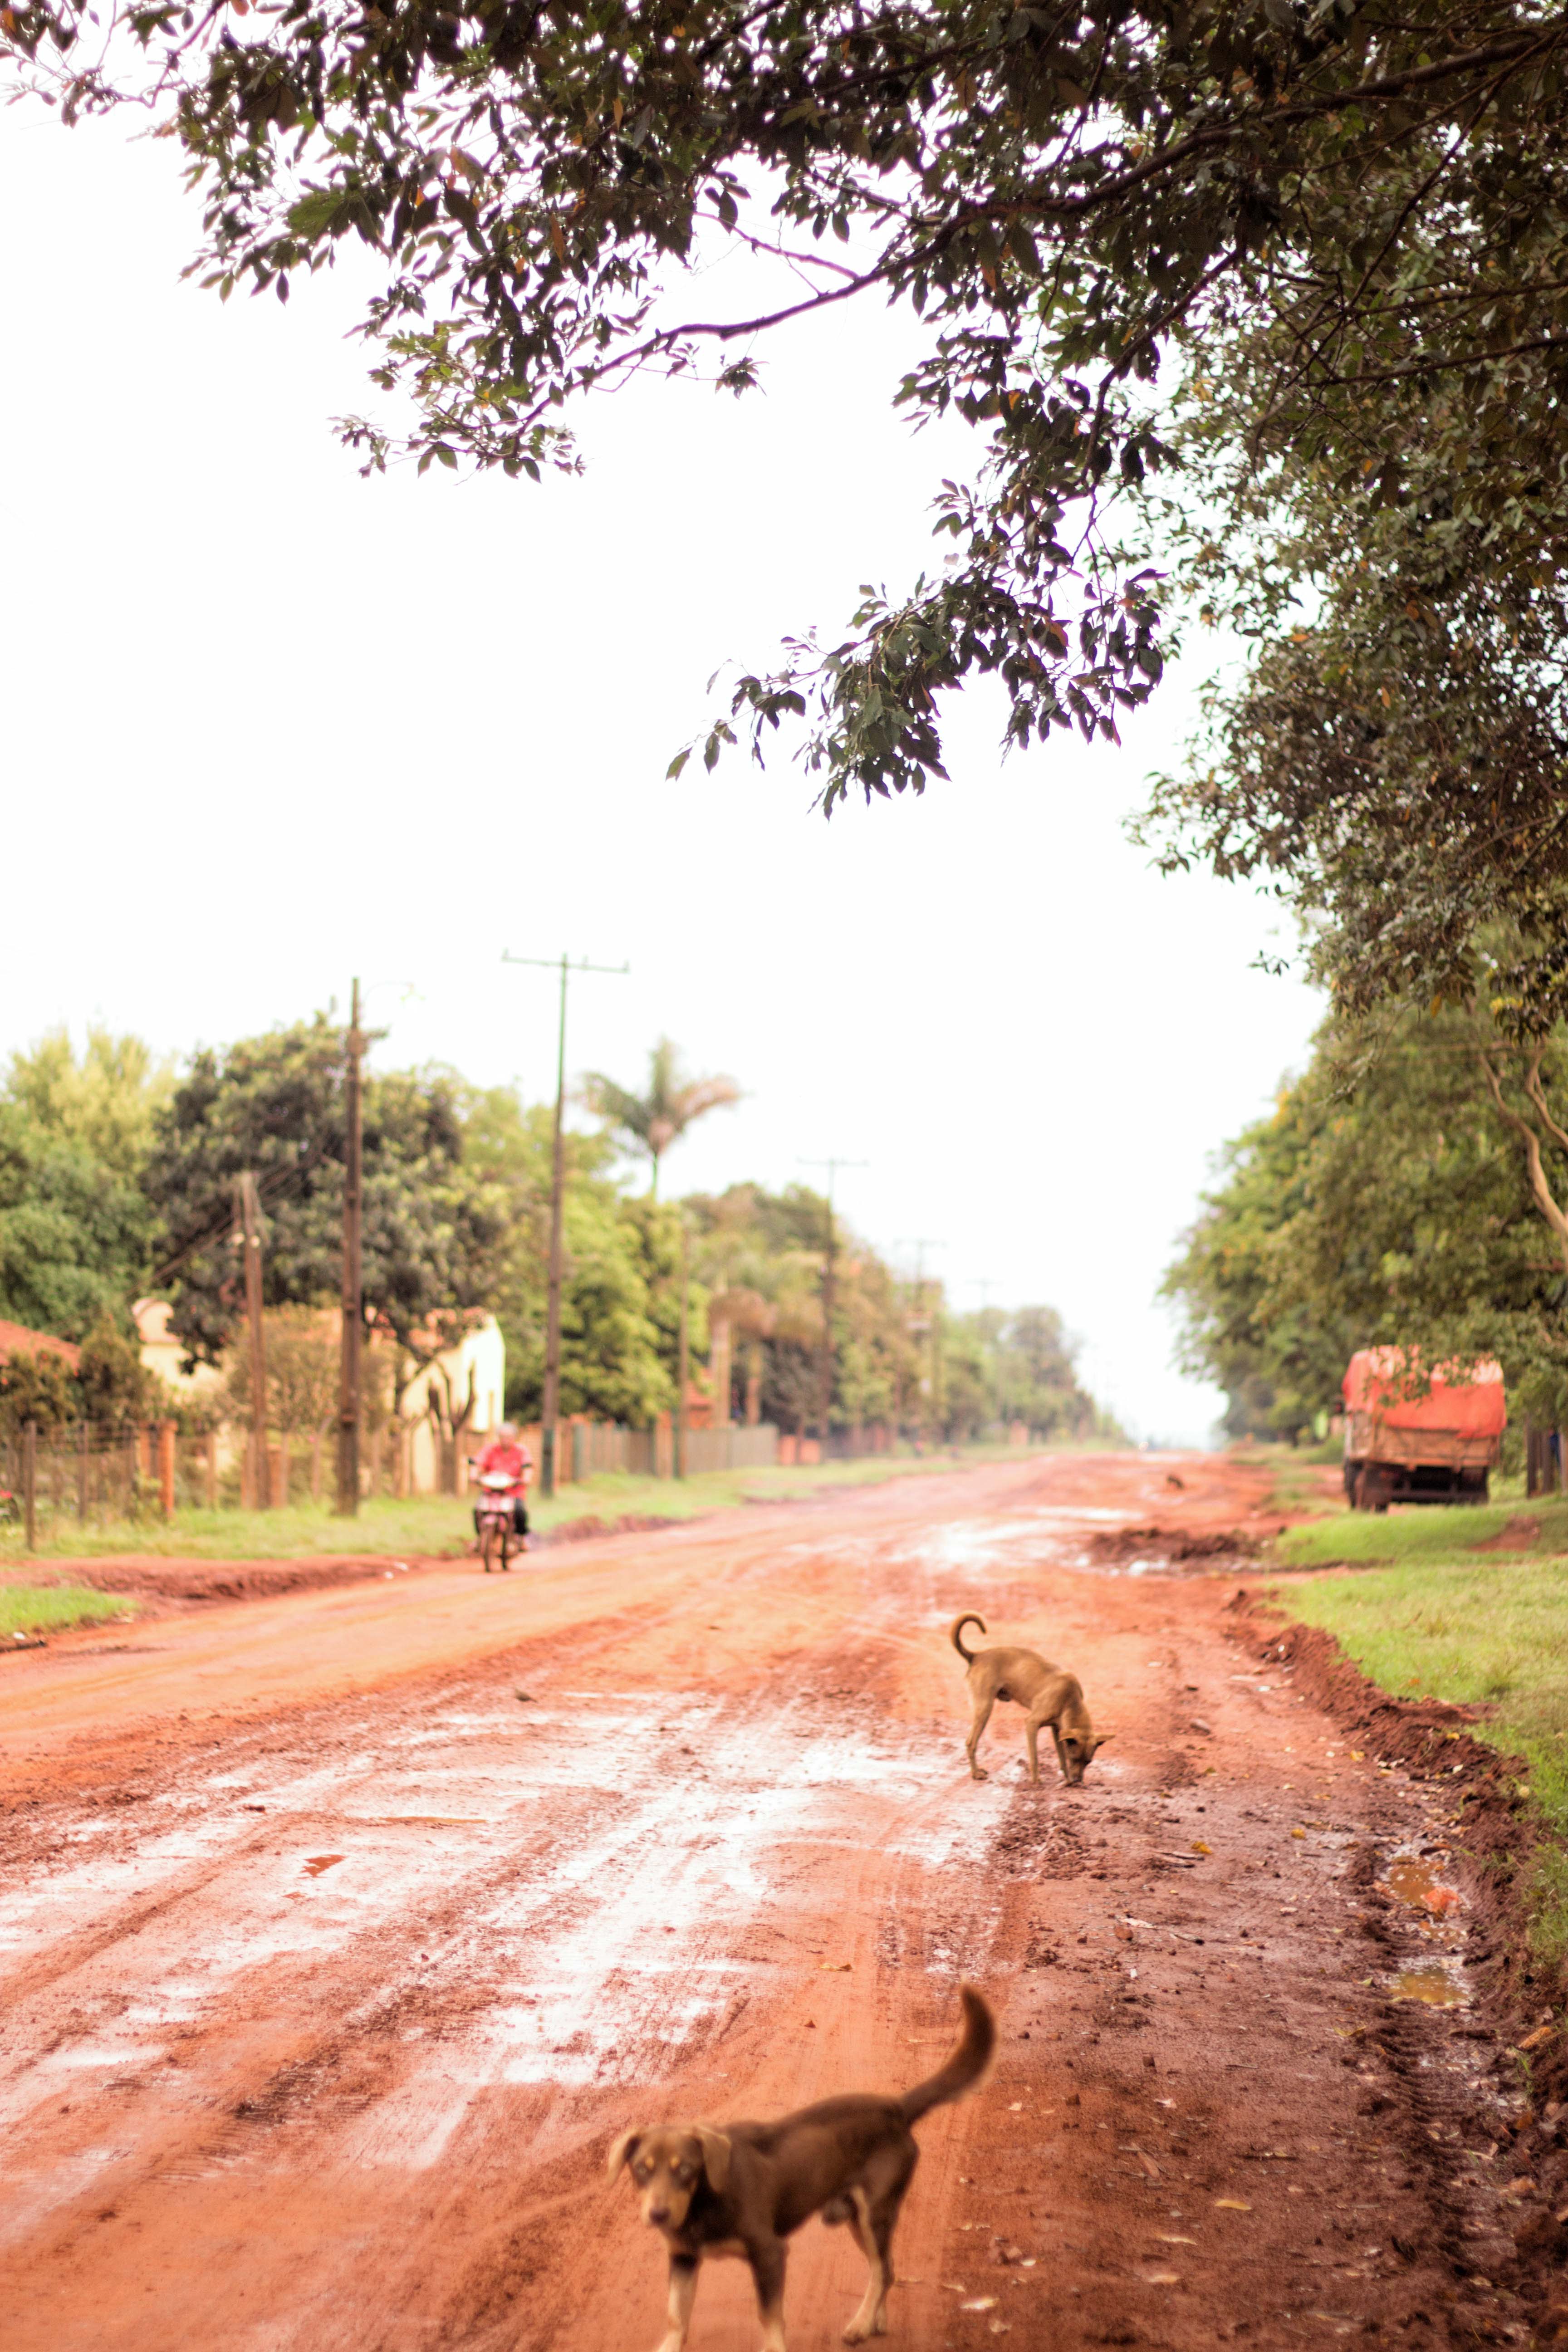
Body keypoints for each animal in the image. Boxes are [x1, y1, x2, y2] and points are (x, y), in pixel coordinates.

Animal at [611, 1985, 992, 2352]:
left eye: (686, 2169)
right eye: (641, 2169)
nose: (658, 2215)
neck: (702, 2205)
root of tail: (896, 2108)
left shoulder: (769, 2253)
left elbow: (769, 2317)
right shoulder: (683, 2258)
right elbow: (677, 2317)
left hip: (875, 2213)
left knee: (882, 2271)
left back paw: (860, 2325)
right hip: (857, 2219)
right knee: (887, 2269)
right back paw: (875, 2322)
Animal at [950, 1608, 1109, 1787]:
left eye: (1088, 1762)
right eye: (1074, 1758)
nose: (1078, 1781)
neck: (1071, 1701)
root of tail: (977, 1656)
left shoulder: (1057, 1730)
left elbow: (1061, 1759)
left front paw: (1067, 1781)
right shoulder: (1031, 1724)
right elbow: (1035, 1757)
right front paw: (1036, 1781)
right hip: (984, 1710)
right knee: (971, 1743)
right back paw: (976, 1773)